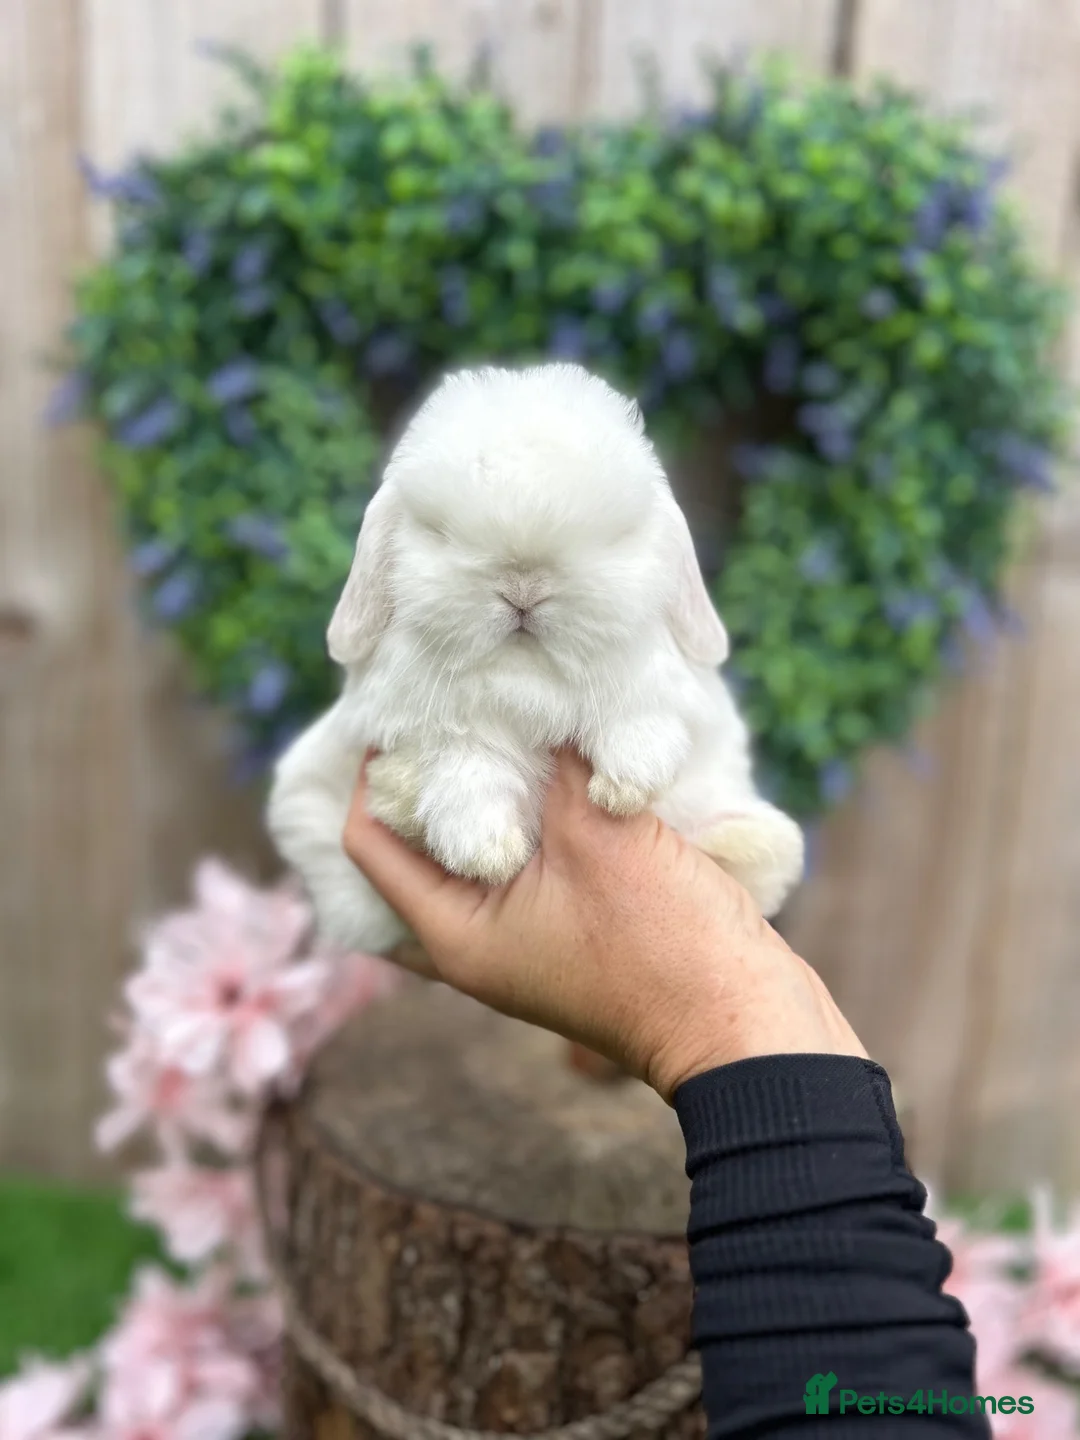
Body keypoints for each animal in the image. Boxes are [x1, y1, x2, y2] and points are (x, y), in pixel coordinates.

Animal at [266, 362, 804, 956]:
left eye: (614, 536)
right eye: (438, 533)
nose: (523, 589)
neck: (528, 680)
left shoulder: (666, 694)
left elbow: (645, 718)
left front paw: (625, 785)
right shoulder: (418, 730)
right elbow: (464, 763)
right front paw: (485, 850)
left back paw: (741, 840)